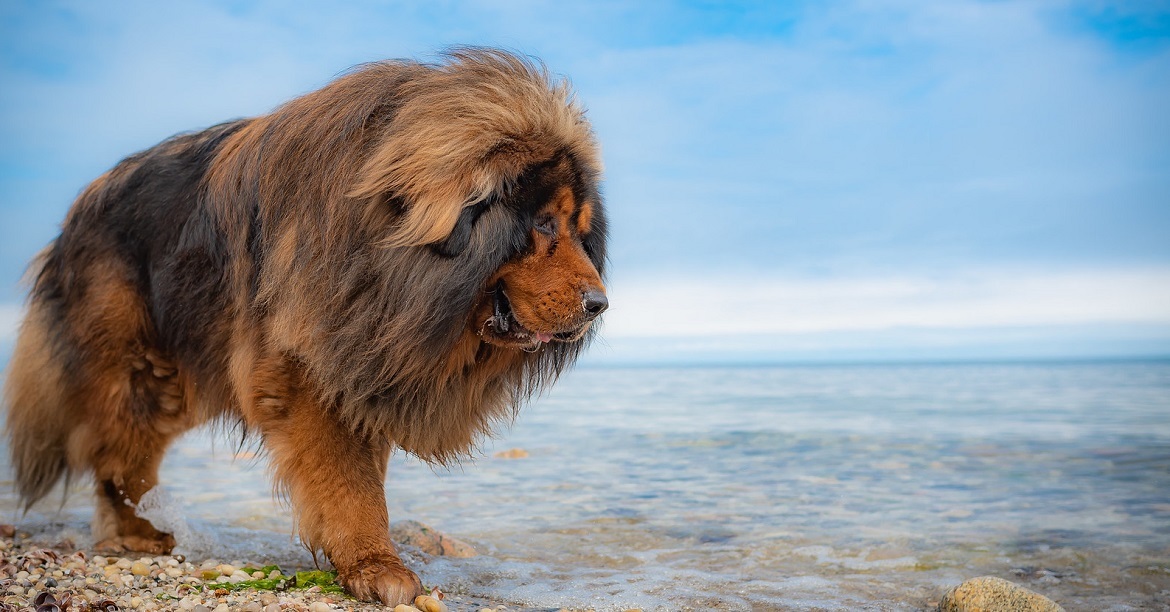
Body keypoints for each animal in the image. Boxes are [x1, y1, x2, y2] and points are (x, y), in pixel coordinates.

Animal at [6, 50, 613, 603]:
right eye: (543, 224)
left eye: (580, 231)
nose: (600, 304)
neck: (383, 265)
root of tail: (77, 211)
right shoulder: (309, 375)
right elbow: (350, 484)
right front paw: (376, 566)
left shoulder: (361, 372)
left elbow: (362, 477)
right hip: (138, 367)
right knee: (120, 457)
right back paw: (136, 533)